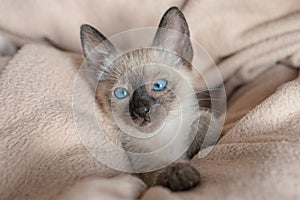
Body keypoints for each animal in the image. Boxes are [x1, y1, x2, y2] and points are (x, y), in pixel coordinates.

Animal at [79, 6, 216, 191]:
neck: (163, 136)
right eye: (121, 93)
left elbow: (206, 123)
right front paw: (182, 174)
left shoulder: (206, 121)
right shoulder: (145, 171)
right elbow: (160, 171)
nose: (142, 111)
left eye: (158, 86)